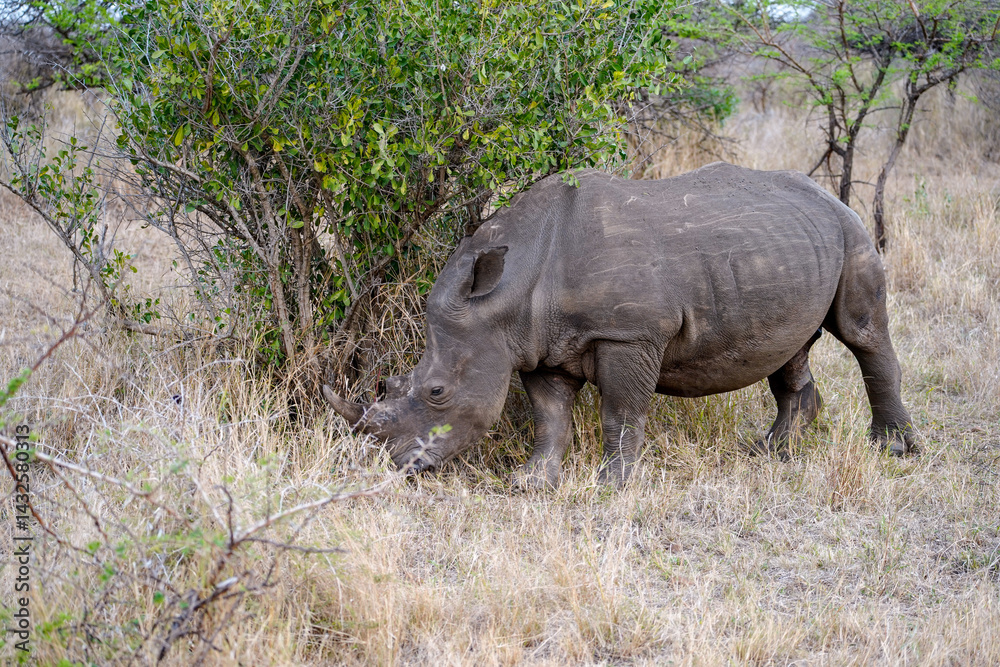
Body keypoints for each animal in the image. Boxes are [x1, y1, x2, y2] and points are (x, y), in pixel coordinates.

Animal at [324, 163, 915, 487]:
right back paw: (773, 450)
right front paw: (532, 482)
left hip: (850, 229)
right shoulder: (538, 344)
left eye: (437, 391)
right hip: (786, 248)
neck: (508, 293)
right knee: (788, 348)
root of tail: (827, 194)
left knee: (862, 333)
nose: (400, 466)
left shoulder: (631, 334)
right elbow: (550, 417)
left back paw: (893, 450)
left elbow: (621, 411)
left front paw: (614, 484)